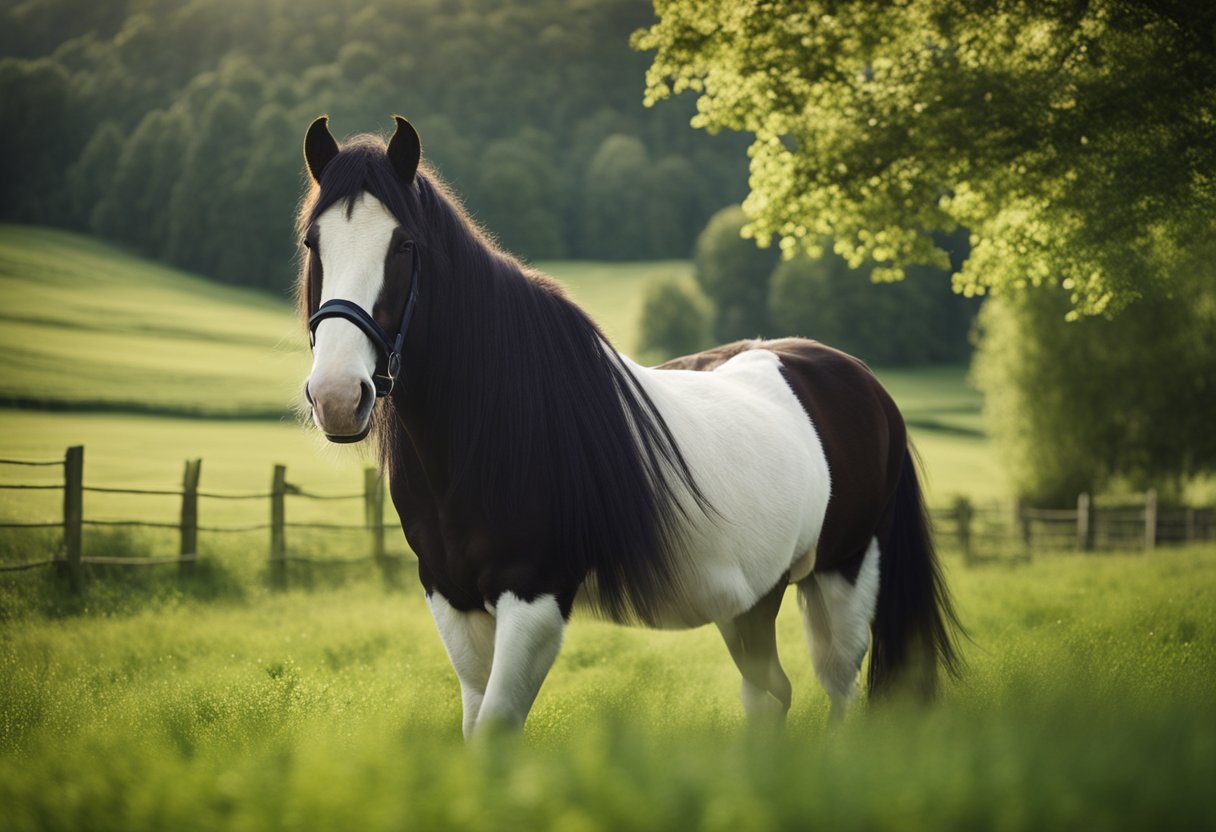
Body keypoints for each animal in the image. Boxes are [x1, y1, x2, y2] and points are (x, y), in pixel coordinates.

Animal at [294, 113, 958, 739]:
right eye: (312, 243)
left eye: (404, 246)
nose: (337, 396)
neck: (489, 433)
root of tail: (860, 381)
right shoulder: (452, 598)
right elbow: (477, 725)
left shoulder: (534, 598)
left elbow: (497, 727)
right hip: (752, 599)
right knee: (768, 693)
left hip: (844, 572)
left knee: (837, 688)